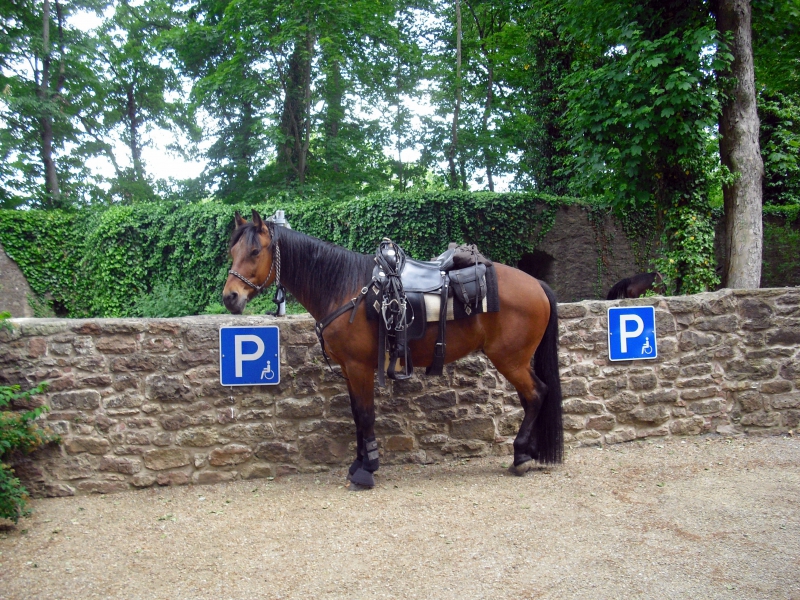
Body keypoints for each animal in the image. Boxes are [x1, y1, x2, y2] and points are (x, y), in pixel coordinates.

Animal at [223, 210, 564, 488]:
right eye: (232, 251)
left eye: (254, 251)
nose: (230, 297)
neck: (344, 288)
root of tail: (537, 284)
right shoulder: (349, 368)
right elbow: (356, 415)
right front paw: (358, 463)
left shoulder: (359, 367)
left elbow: (365, 415)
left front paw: (367, 469)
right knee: (532, 397)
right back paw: (528, 452)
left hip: (511, 359)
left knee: (536, 394)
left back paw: (520, 455)